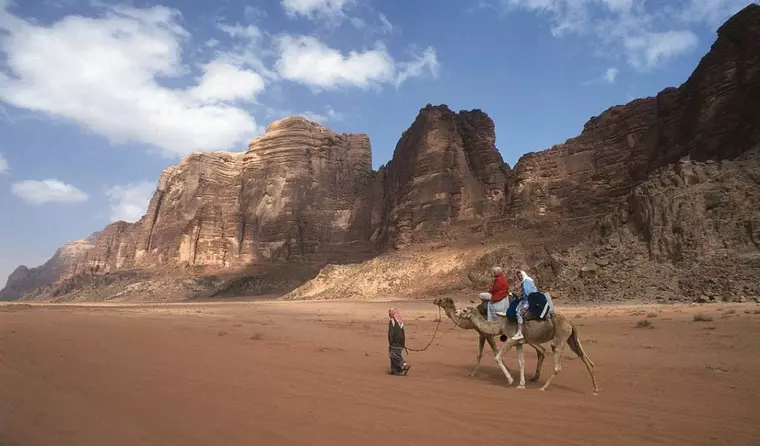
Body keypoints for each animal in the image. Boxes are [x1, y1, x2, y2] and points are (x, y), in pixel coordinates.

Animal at [458, 304, 600, 394]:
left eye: (464, 310)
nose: (456, 312)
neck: (500, 325)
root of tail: (569, 322)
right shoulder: (519, 343)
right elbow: (521, 363)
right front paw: (521, 384)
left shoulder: (511, 339)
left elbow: (497, 357)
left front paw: (510, 381)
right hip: (571, 338)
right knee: (585, 358)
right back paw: (595, 390)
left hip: (560, 336)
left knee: (557, 362)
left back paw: (543, 387)